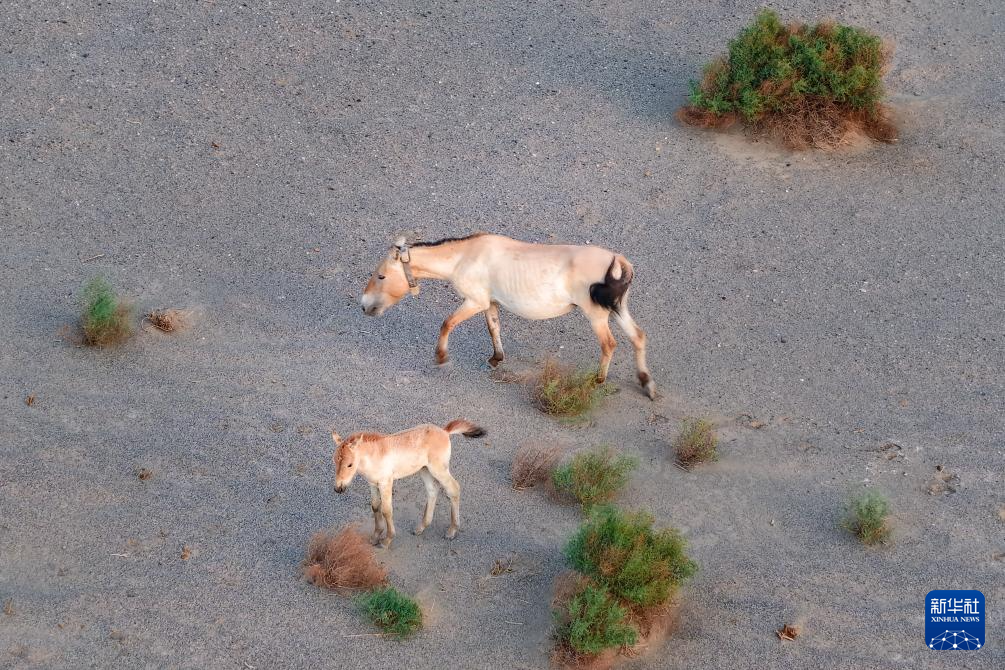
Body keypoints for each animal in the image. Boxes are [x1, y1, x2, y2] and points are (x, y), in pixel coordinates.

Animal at [332, 419, 486, 548]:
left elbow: (386, 510)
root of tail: (445, 431)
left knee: (453, 489)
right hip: (424, 469)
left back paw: (451, 531)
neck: (375, 455)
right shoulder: (373, 484)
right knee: (432, 490)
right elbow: (375, 507)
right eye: (334, 461)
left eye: (350, 464)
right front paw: (375, 537)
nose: (339, 488)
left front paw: (386, 540)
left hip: (438, 469)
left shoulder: (386, 483)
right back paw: (421, 527)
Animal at [359, 232, 656, 399]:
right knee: (638, 337)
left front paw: (441, 357)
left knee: (609, 344)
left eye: (381, 276)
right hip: (618, 309)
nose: (364, 306)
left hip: (597, 315)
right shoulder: (491, 303)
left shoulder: (475, 301)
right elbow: (494, 328)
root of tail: (618, 260)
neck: (464, 256)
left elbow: (447, 323)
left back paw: (599, 380)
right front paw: (496, 358)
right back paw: (647, 384)